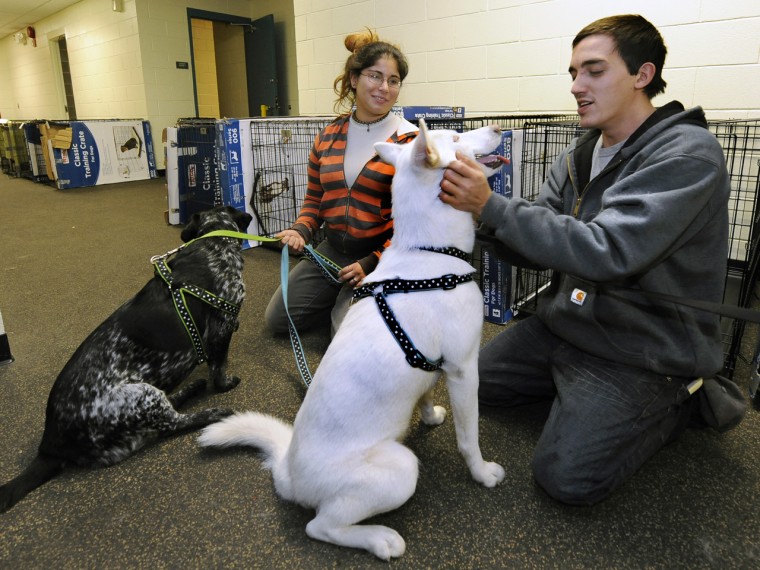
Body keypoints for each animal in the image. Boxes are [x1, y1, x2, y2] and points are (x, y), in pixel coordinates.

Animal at [0, 204, 252, 510]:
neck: (212, 243)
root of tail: (50, 445)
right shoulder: (222, 327)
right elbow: (219, 367)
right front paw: (225, 385)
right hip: (141, 395)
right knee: (173, 424)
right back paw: (214, 412)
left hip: (142, 401)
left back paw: (193, 387)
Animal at [199, 117, 508, 556]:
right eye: (455, 137)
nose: (499, 126)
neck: (428, 251)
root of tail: (288, 471)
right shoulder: (465, 370)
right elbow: (470, 437)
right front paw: (482, 473)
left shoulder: (437, 368)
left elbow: (426, 391)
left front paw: (430, 415)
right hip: (401, 468)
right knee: (321, 527)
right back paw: (380, 539)